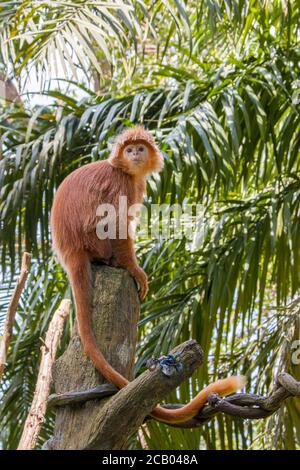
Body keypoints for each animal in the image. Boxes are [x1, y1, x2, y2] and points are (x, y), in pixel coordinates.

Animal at [50, 126, 245, 424]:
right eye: (129, 150)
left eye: (139, 148)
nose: (134, 154)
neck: (124, 169)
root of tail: (70, 250)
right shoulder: (121, 183)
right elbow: (118, 222)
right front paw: (135, 269)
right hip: (93, 240)